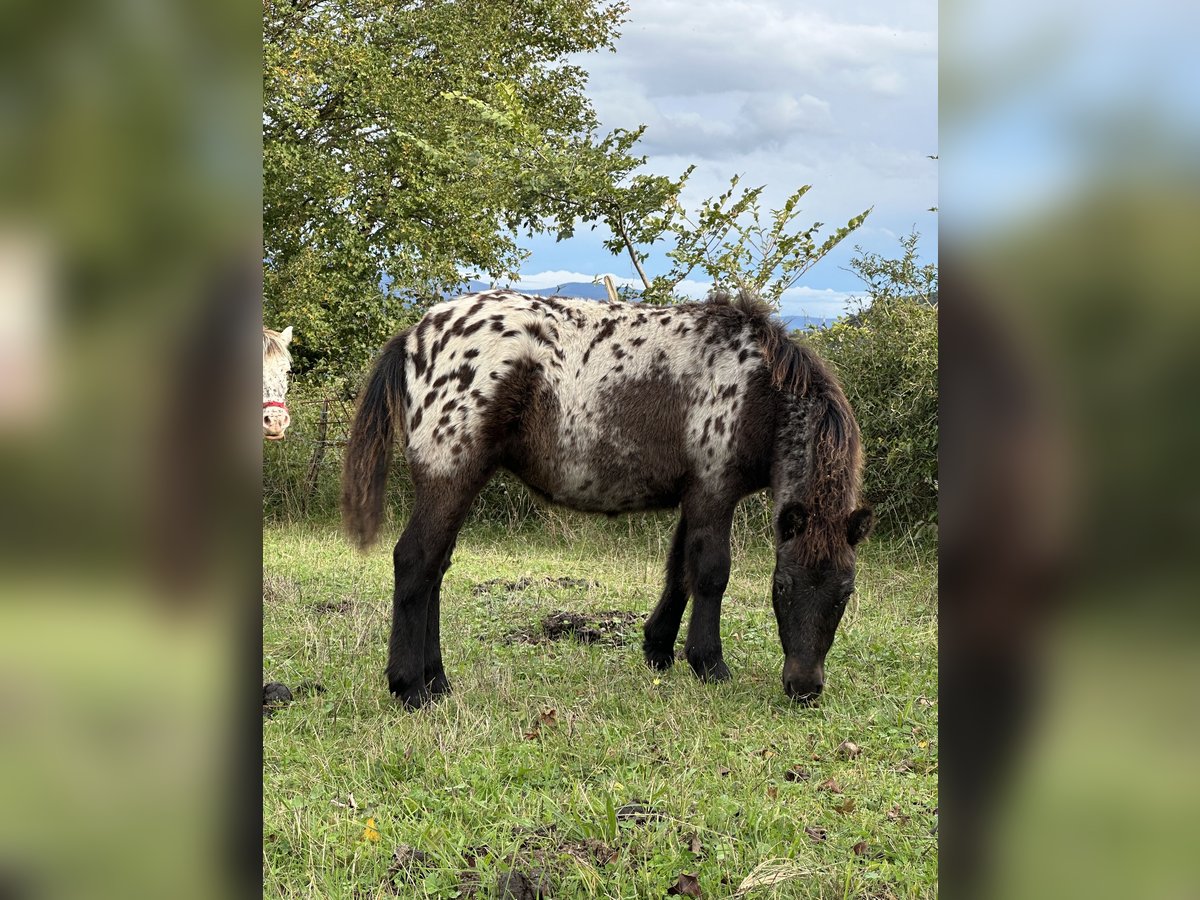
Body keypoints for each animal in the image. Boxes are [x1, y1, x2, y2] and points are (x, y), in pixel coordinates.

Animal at [340, 289, 873, 710]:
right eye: (782, 586)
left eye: (845, 592)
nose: (804, 687)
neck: (757, 389)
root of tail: (415, 336)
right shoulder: (714, 492)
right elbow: (710, 573)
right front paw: (709, 664)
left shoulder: (693, 496)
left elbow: (678, 572)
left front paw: (659, 649)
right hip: (449, 478)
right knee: (416, 563)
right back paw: (410, 688)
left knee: (435, 570)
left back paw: (437, 682)